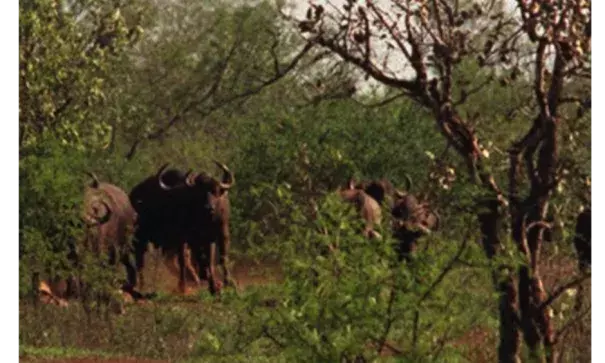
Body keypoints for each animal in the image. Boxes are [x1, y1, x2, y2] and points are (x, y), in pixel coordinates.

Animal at [129, 161, 235, 296]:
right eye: (199, 192)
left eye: (215, 190)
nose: (208, 207)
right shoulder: (184, 237)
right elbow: (185, 261)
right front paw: (183, 286)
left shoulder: (220, 234)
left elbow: (218, 259)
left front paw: (223, 284)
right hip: (140, 237)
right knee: (140, 260)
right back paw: (141, 285)